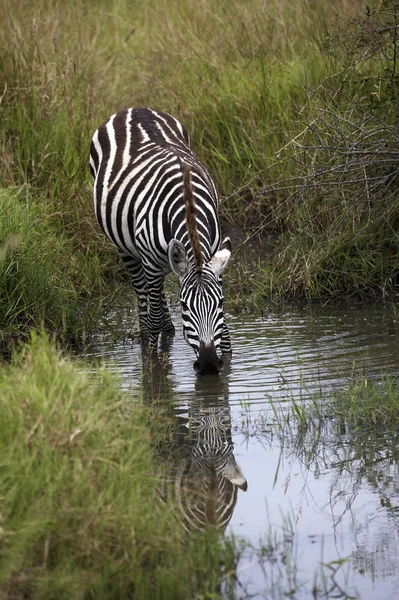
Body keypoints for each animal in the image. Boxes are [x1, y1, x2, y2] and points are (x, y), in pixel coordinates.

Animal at [90, 105, 234, 372]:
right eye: (185, 307)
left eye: (220, 303)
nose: (208, 364)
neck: (188, 204)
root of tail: (134, 108)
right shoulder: (150, 262)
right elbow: (153, 315)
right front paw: (152, 364)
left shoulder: (212, 256)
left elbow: (226, 332)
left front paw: (229, 365)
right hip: (127, 249)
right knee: (143, 294)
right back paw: (148, 332)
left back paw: (168, 329)